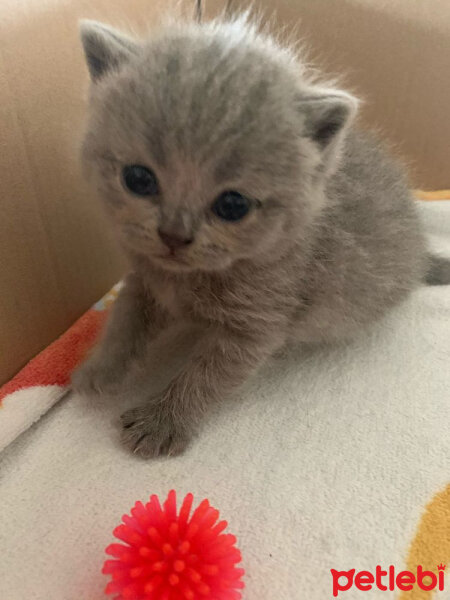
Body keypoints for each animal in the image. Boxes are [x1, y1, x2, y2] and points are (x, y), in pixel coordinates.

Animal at [73, 14, 442, 458]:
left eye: (233, 205)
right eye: (138, 178)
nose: (174, 235)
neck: (189, 278)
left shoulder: (257, 325)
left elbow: (206, 376)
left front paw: (162, 422)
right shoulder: (144, 279)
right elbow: (123, 322)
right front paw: (99, 370)